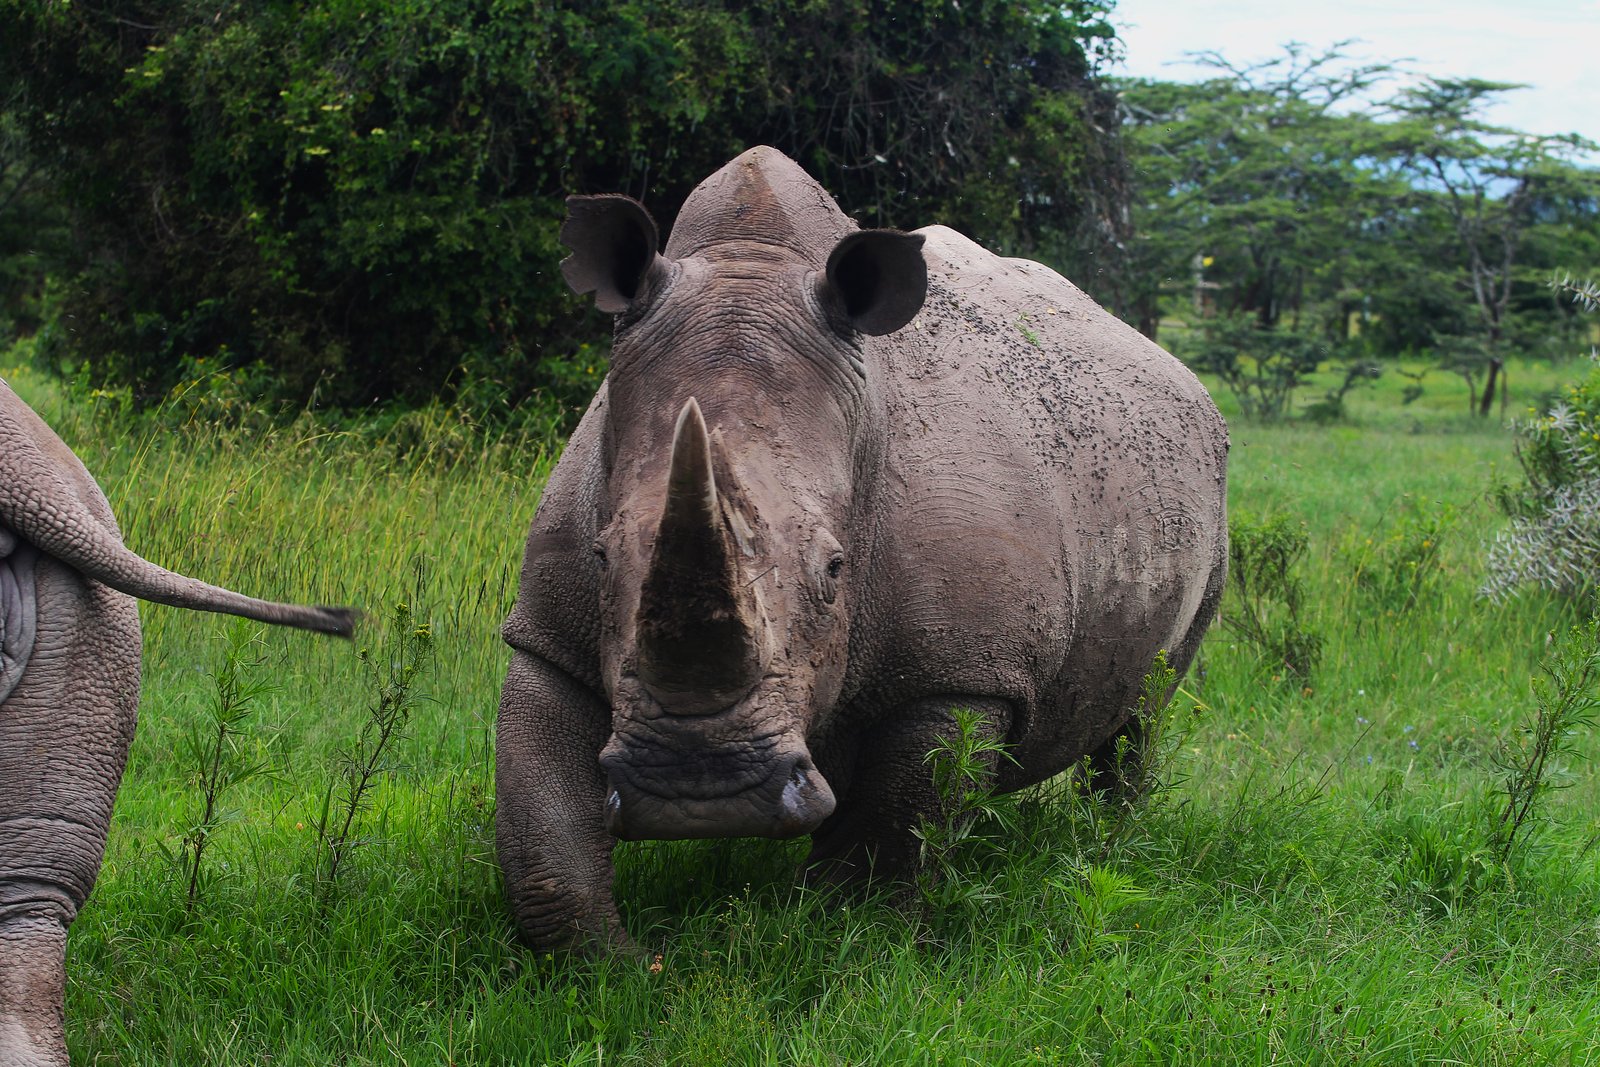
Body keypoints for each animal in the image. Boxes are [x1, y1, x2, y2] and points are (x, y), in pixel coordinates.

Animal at [497, 146, 1228, 950]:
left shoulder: (964, 668)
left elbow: (898, 824)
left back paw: (1106, 845)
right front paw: (608, 965)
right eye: (602, 556)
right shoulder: (550, 630)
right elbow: (541, 818)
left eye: (836, 568)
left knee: (1149, 706)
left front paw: (847, 935)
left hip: (1208, 500)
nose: (698, 791)